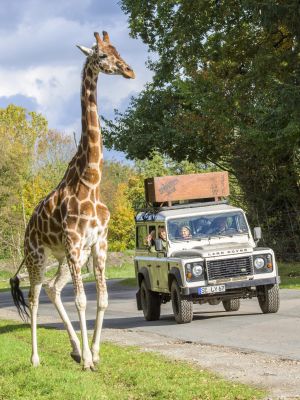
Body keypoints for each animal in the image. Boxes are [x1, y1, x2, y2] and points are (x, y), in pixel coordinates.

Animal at [9, 30, 135, 368]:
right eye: (102, 56)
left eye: (118, 50)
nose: (129, 71)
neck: (91, 181)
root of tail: (28, 229)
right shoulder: (75, 241)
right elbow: (81, 300)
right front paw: (90, 359)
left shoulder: (98, 243)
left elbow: (102, 299)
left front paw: (95, 352)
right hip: (38, 256)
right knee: (35, 296)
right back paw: (36, 358)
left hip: (63, 257)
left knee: (53, 289)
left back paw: (76, 349)